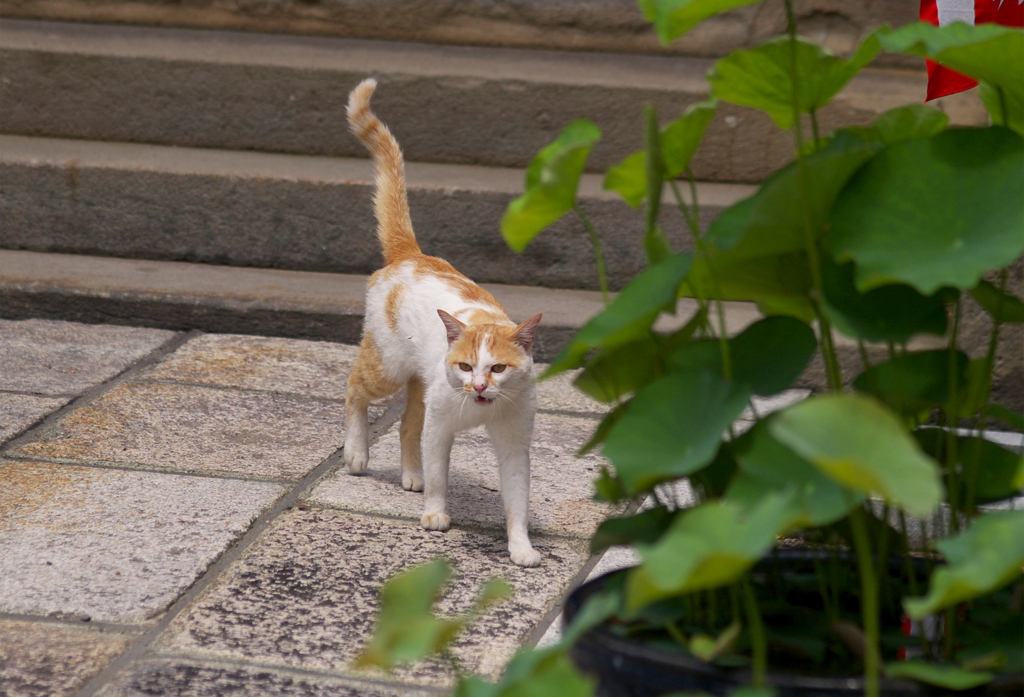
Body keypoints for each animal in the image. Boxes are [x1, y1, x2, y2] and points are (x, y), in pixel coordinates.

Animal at [344, 77, 548, 564]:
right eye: (466, 365)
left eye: (498, 367)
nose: (478, 385)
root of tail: (411, 254)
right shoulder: (440, 427)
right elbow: (440, 472)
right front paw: (436, 513)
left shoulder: (515, 443)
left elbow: (517, 499)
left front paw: (521, 546)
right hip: (388, 369)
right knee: (354, 389)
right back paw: (357, 453)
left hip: (421, 383)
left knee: (405, 425)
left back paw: (410, 476)